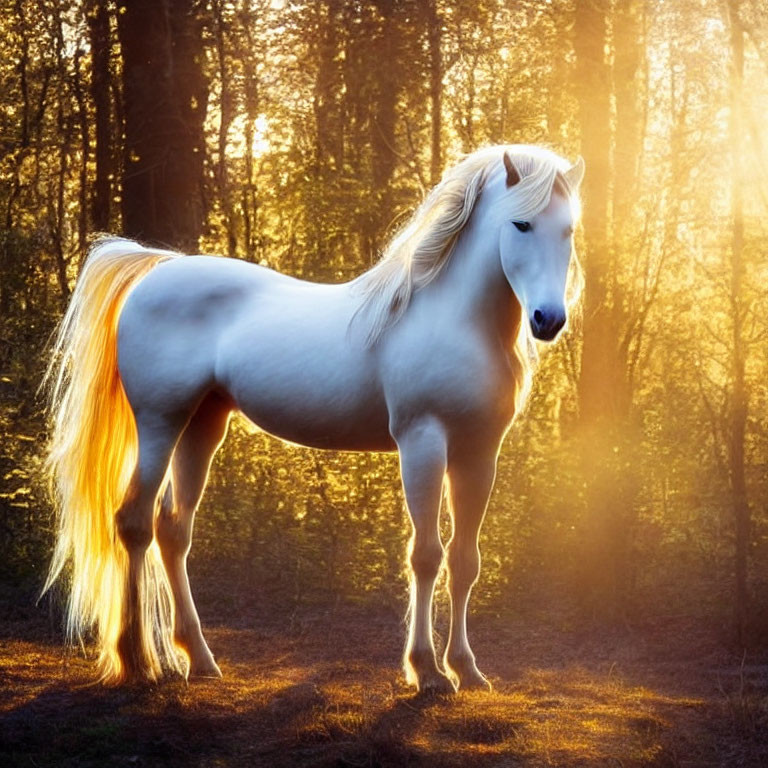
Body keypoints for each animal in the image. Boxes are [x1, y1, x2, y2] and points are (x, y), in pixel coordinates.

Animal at [43, 144, 584, 688]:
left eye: (568, 229)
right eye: (521, 224)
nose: (548, 320)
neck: (455, 320)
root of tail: (158, 269)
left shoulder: (478, 454)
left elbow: (465, 561)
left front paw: (467, 671)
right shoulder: (423, 443)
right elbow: (426, 556)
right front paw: (427, 671)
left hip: (201, 425)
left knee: (172, 530)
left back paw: (200, 659)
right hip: (160, 420)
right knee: (133, 521)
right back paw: (137, 660)